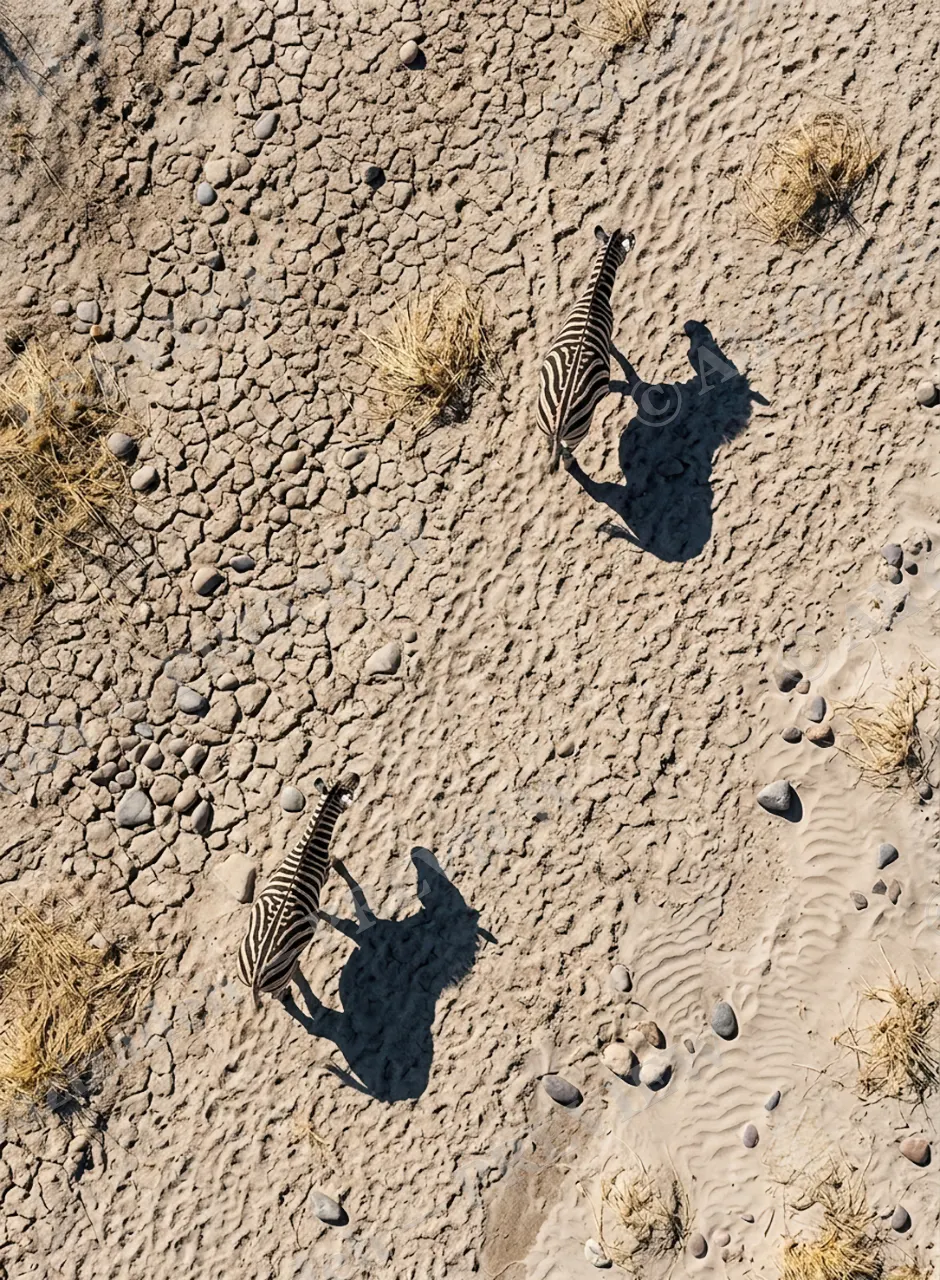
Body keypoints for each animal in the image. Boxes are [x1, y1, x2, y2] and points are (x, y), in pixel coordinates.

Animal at [237, 772, 360, 1007]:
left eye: (338, 777)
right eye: (349, 789)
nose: (355, 774)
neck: (309, 844)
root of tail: (255, 980)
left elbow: (318, 911)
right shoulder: (325, 872)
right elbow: (339, 866)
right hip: (281, 974)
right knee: (281, 993)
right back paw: (291, 990)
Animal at [536, 225, 634, 471]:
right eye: (627, 242)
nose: (634, 234)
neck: (594, 295)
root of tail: (558, 424)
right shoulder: (609, 329)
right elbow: (615, 351)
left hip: (543, 421)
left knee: (551, 445)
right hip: (581, 429)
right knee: (567, 452)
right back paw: (570, 463)